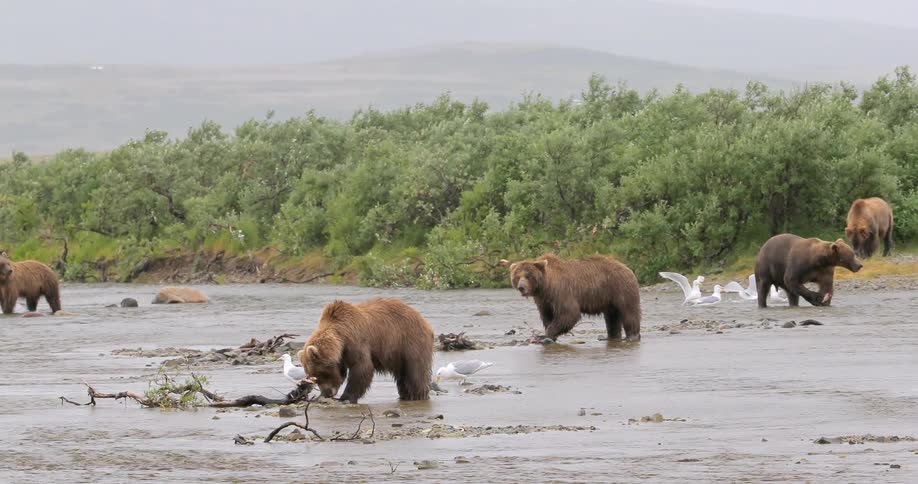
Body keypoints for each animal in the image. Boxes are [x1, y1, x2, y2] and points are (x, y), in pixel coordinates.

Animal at [299, 298, 434, 403]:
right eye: (312, 376)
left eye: (320, 373)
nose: (326, 393)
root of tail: (425, 321)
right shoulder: (343, 354)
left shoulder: (356, 341)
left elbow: (362, 367)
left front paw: (345, 398)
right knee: (402, 376)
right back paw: (405, 395)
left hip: (409, 342)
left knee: (416, 372)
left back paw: (418, 395)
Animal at [509, 253, 641, 342]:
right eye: (517, 276)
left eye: (528, 275)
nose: (521, 287)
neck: (546, 286)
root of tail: (627, 268)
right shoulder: (543, 300)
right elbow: (546, 315)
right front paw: (548, 335)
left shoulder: (562, 292)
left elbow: (569, 313)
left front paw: (544, 336)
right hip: (609, 298)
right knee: (612, 317)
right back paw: (610, 337)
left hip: (620, 288)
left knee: (629, 311)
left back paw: (632, 336)